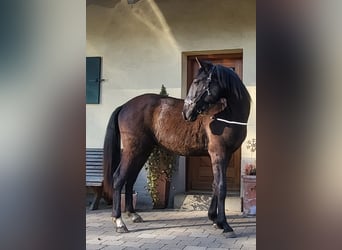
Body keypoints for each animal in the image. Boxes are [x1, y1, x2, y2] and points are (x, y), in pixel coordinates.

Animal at [103, 59, 250, 236]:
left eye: (197, 81)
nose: (186, 113)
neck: (225, 114)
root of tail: (125, 105)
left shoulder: (225, 155)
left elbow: (215, 185)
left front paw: (214, 219)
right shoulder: (218, 153)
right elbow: (221, 186)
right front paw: (225, 225)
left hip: (143, 150)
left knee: (130, 179)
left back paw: (133, 214)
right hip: (133, 150)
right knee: (119, 178)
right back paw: (119, 221)